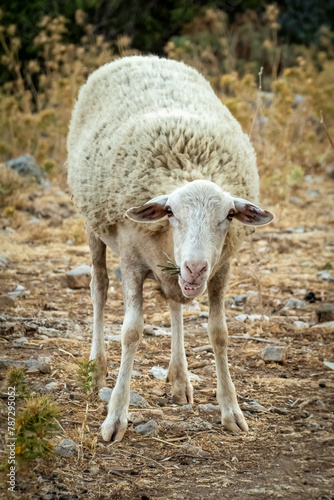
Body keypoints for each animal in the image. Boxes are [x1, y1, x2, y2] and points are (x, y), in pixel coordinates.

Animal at [67, 56, 274, 444]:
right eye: (172, 213)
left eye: (228, 215)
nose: (195, 267)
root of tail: (140, 56)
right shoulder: (132, 261)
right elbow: (131, 333)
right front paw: (115, 417)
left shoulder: (221, 270)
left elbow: (219, 334)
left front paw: (231, 410)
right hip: (92, 225)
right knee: (99, 288)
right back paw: (97, 367)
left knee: (174, 303)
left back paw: (179, 378)